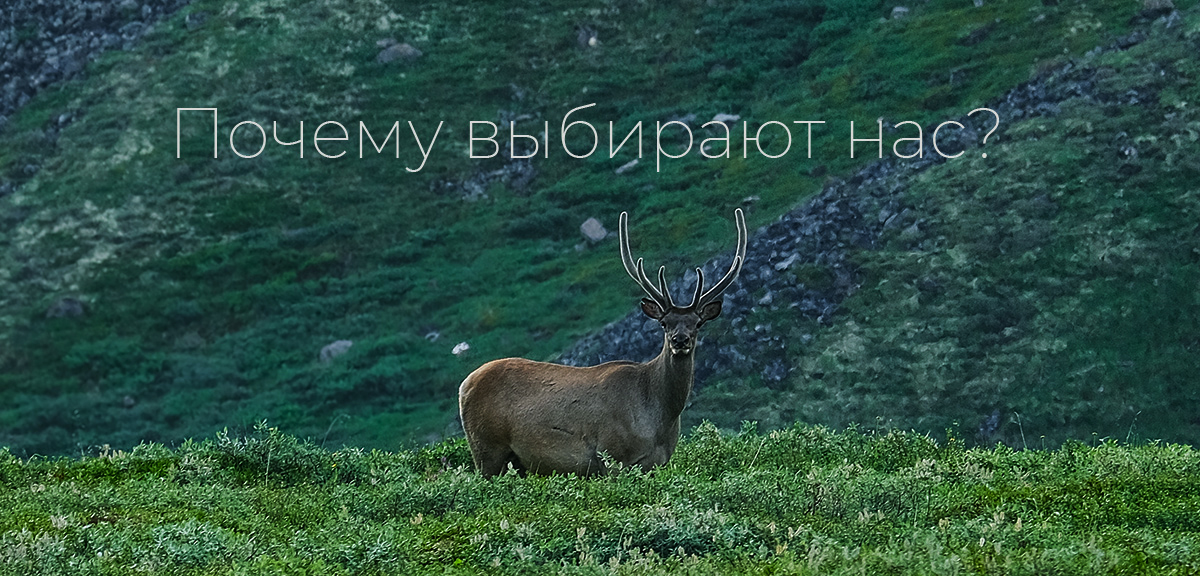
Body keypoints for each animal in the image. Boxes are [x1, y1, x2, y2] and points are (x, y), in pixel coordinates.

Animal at [458, 208, 747, 477]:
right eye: (664, 323)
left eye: (697, 323)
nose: (680, 340)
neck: (659, 419)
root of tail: (465, 384)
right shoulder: (612, 455)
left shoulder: (658, 463)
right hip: (486, 448)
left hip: (513, 461)